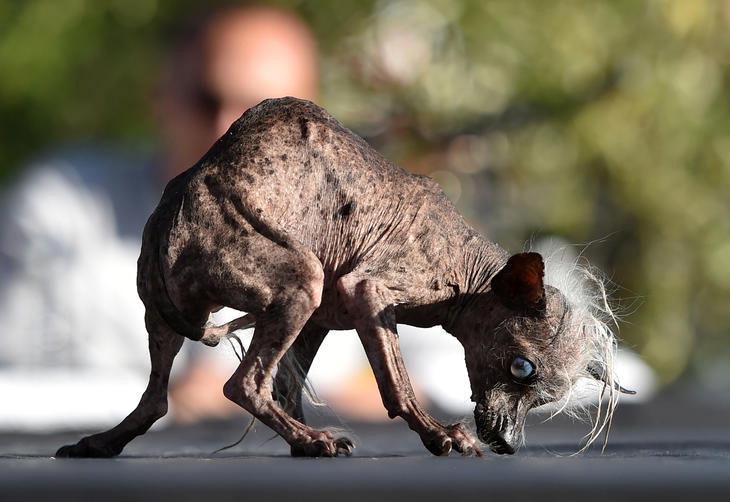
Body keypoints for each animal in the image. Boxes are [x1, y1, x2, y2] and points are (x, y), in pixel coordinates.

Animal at [55, 95, 632, 458]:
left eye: (548, 397)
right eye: (521, 368)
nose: (508, 443)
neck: (466, 270)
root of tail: (177, 203)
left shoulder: (323, 317)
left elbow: (288, 385)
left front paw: (302, 437)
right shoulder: (369, 291)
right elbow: (396, 386)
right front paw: (438, 435)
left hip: (178, 310)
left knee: (159, 397)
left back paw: (101, 443)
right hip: (300, 279)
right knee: (242, 384)